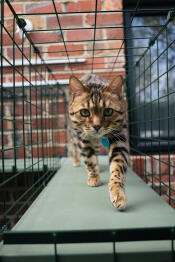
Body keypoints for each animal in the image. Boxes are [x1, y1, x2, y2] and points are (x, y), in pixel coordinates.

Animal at [69, 73, 129, 211]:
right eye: (84, 112)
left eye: (108, 111)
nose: (97, 126)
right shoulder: (83, 139)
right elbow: (89, 160)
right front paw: (93, 177)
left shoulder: (119, 138)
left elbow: (117, 167)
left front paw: (118, 193)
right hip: (73, 133)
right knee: (73, 146)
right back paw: (76, 161)